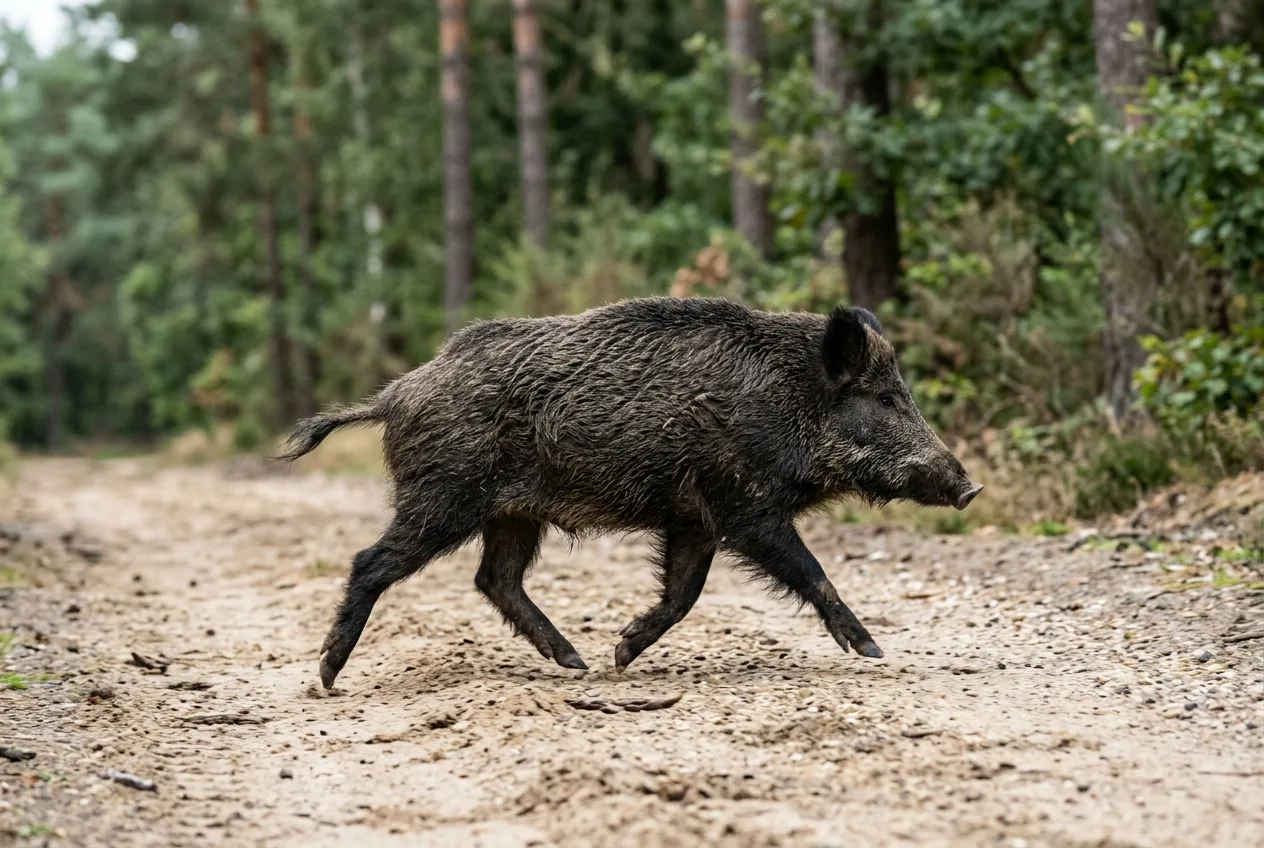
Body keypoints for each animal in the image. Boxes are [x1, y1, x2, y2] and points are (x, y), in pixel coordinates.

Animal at [278, 296, 982, 689]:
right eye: (885, 399)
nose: (970, 486)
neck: (790, 400)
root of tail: (394, 396)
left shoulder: (696, 519)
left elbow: (684, 593)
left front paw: (621, 653)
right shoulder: (745, 505)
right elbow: (811, 573)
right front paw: (872, 650)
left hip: (512, 513)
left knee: (495, 578)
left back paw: (577, 663)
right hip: (444, 497)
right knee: (372, 561)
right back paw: (328, 674)